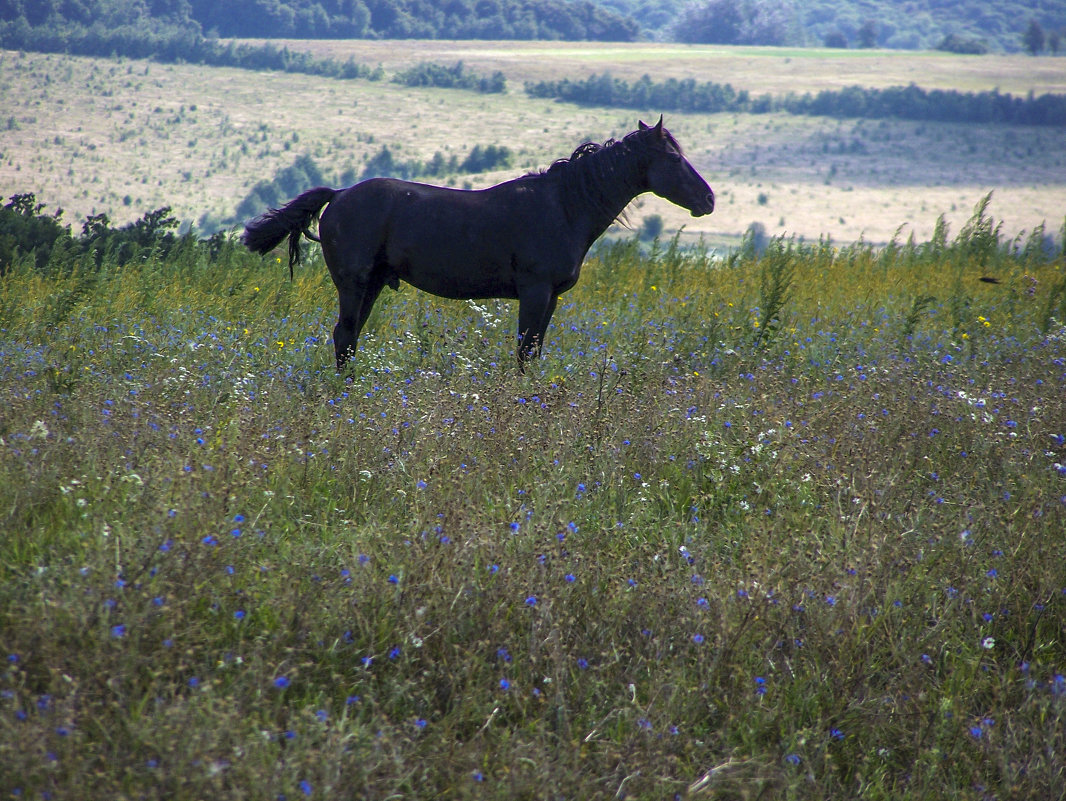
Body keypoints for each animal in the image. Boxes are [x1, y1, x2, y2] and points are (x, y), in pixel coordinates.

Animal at [244, 115, 716, 369]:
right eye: (673, 158)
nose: (708, 200)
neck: (564, 206)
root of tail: (339, 195)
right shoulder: (534, 291)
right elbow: (524, 351)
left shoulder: (551, 298)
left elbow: (535, 350)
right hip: (354, 283)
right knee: (343, 335)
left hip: (373, 284)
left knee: (351, 336)